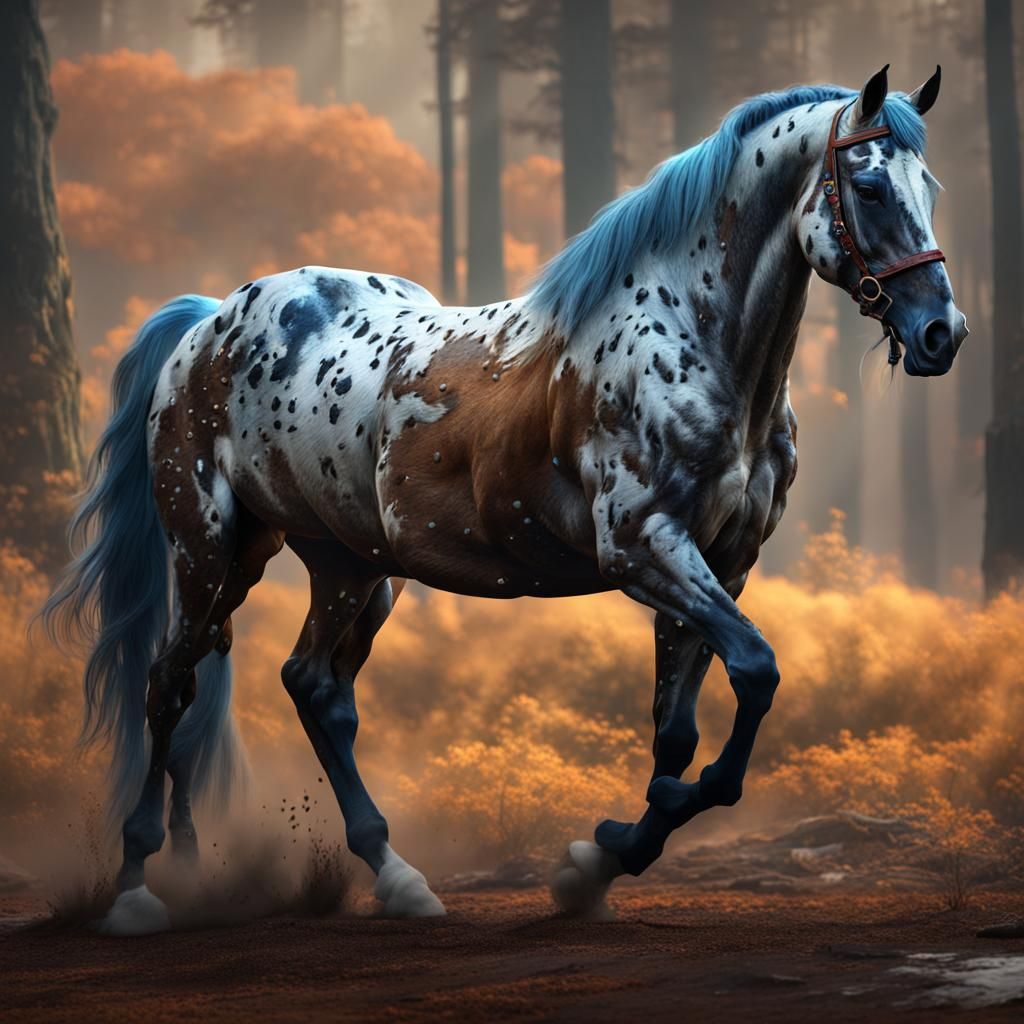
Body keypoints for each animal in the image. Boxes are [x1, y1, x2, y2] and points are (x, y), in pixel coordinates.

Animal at [44, 66, 966, 934]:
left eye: (930, 186)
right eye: (871, 187)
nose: (941, 335)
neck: (694, 344)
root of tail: (208, 323)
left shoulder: (721, 564)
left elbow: (679, 727)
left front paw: (599, 862)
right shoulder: (645, 548)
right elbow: (756, 672)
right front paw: (624, 834)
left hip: (350, 568)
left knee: (312, 688)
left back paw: (394, 878)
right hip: (212, 552)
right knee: (169, 685)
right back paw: (140, 890)